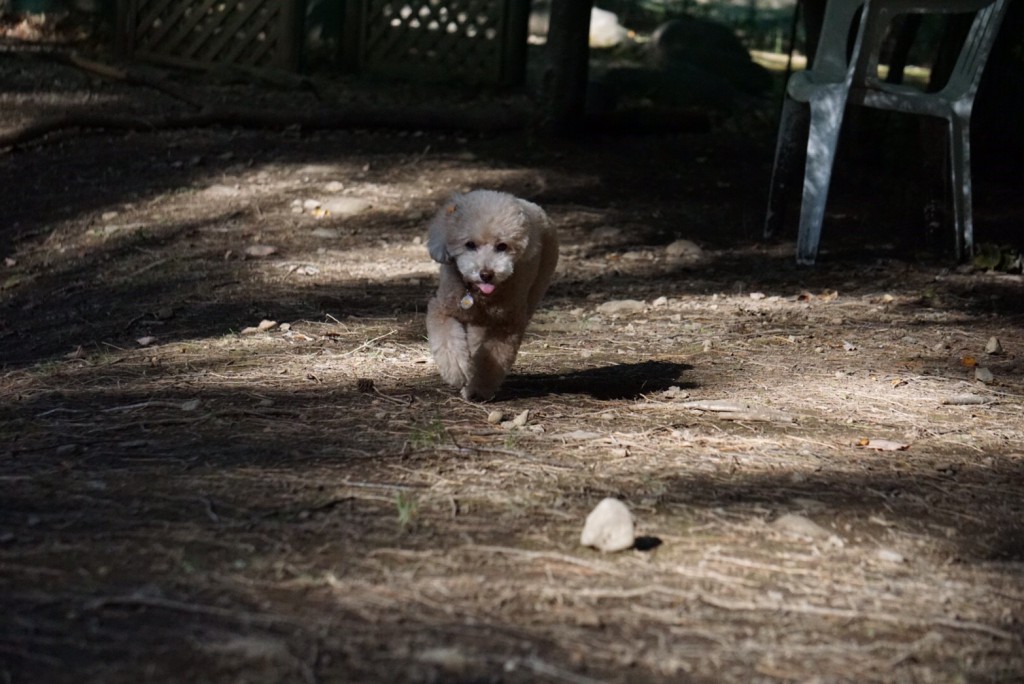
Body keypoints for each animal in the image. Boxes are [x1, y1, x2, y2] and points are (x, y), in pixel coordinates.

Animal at [430, 189, 565, 401]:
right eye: (470, 244)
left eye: (502, 246)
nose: (486, 274)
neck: (479, 296)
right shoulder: (443, 308)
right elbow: (446, 337)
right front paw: (458, 370)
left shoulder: (507, 324)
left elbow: (491, 359)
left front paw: (477, 389)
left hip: (537, 287)